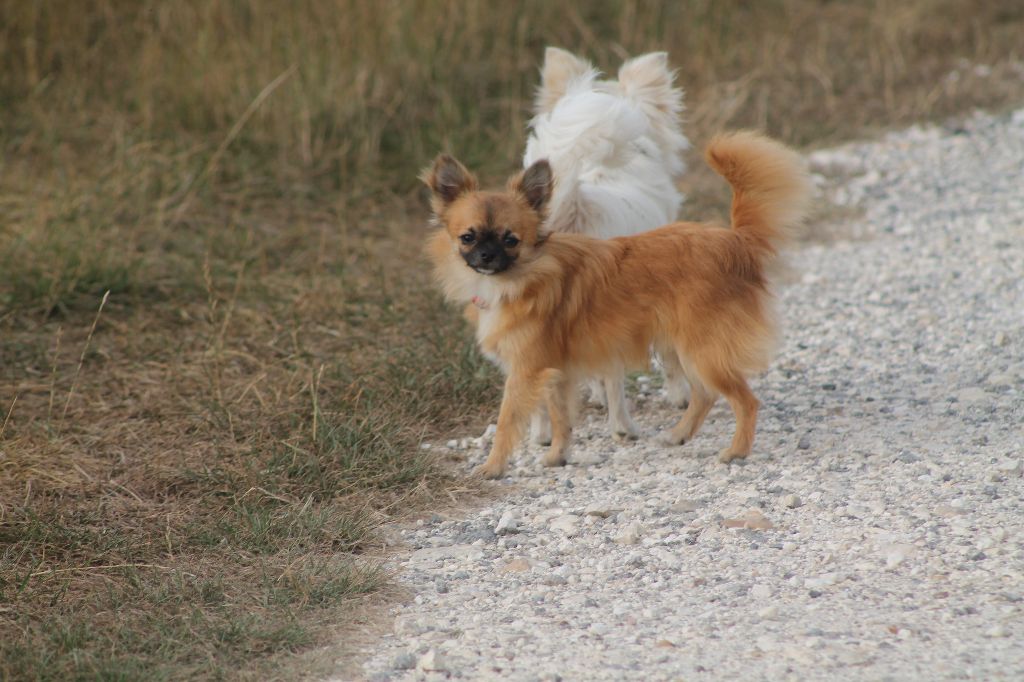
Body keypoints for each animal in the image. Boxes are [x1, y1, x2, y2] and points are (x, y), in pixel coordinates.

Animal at [528, 46, 688, 440]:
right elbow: (669, 355)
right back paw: (623, 428)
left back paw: (540, 434)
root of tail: (575, 209)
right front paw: (680, 396)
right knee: (616, 379)